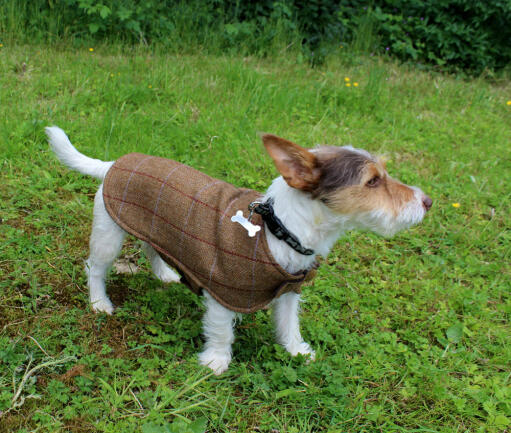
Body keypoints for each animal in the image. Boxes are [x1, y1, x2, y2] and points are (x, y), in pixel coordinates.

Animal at [47, 126, 432, 372]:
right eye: (373, 181)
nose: (427, 202)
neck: (279, 230)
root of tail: (114, 163)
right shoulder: (222, 292)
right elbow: (222, 330)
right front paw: (216, 361)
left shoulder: (289, 292)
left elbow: (289, 325)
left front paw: (296, 351)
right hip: (108, 236)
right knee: (95, 268)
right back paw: (99, 302)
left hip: (152, 227)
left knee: (151, 247)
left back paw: (164, 274)